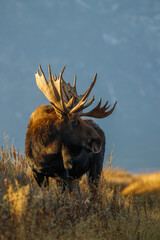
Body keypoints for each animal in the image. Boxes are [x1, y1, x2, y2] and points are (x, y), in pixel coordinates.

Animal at [25, 65, 117, 193]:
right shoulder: (37, 173)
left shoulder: (63, 173)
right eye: (74, 122)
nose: (97, 141)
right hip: (75, 177)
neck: (46, 152)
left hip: (96, 169)